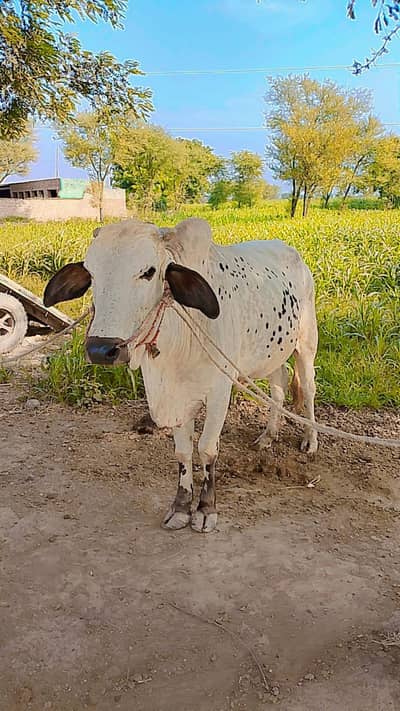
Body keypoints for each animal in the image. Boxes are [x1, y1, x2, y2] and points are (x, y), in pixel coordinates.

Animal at [44, 218, 318, 533]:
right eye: (91, 273)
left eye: (149, 272)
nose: (101, 349)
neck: (180, 339)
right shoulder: (175, 396)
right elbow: (183, 451)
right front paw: (181, 507)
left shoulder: (220, 392)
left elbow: (207, 449)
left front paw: (206, 509)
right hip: (273, 353)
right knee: (278, 387)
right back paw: (268, 436)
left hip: (306, 344)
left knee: (308, 389)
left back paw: (310, 441)